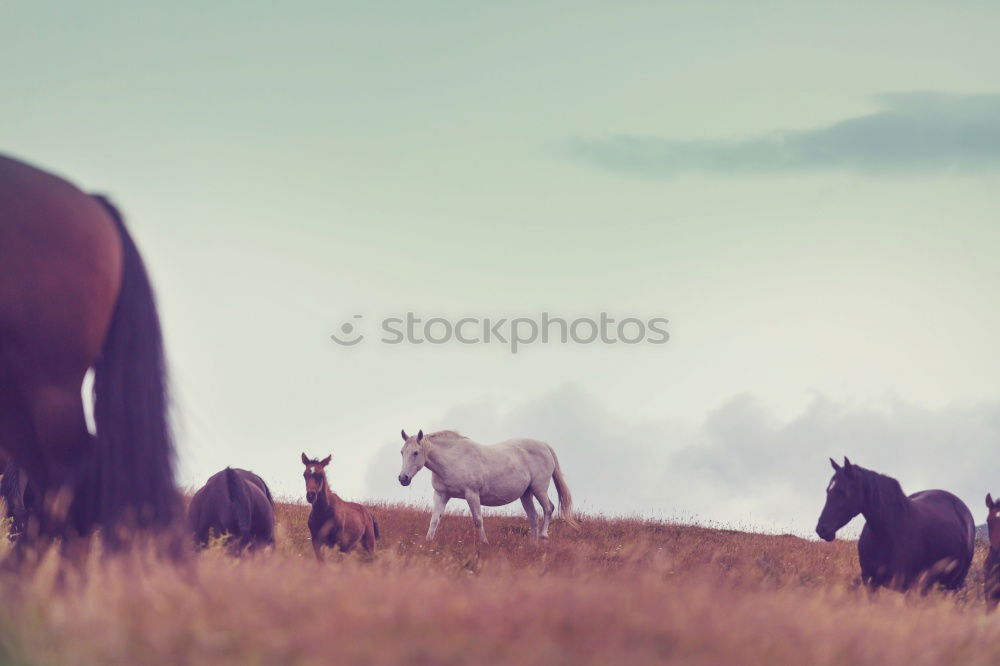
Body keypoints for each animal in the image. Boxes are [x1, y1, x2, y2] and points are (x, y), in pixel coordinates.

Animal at [398, 428, 580, 544]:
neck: (453, 459)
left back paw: (543, 536)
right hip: (526, 494)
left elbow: (478, 520)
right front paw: (428, 542)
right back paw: (533, 543)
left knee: (549, 508)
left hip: (539, 489)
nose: (403, 478)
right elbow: (434, 520)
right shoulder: (441, 495)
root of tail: (544, 445)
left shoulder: (472, 494)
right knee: (533, 516)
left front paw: (484, 542)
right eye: (402, 452)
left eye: (415, 452)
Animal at [816, 456, 972, 592]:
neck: (885, 534)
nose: (822, 529)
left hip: (953, 585)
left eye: (842, 491)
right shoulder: (870, 583)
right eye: (828, 490)